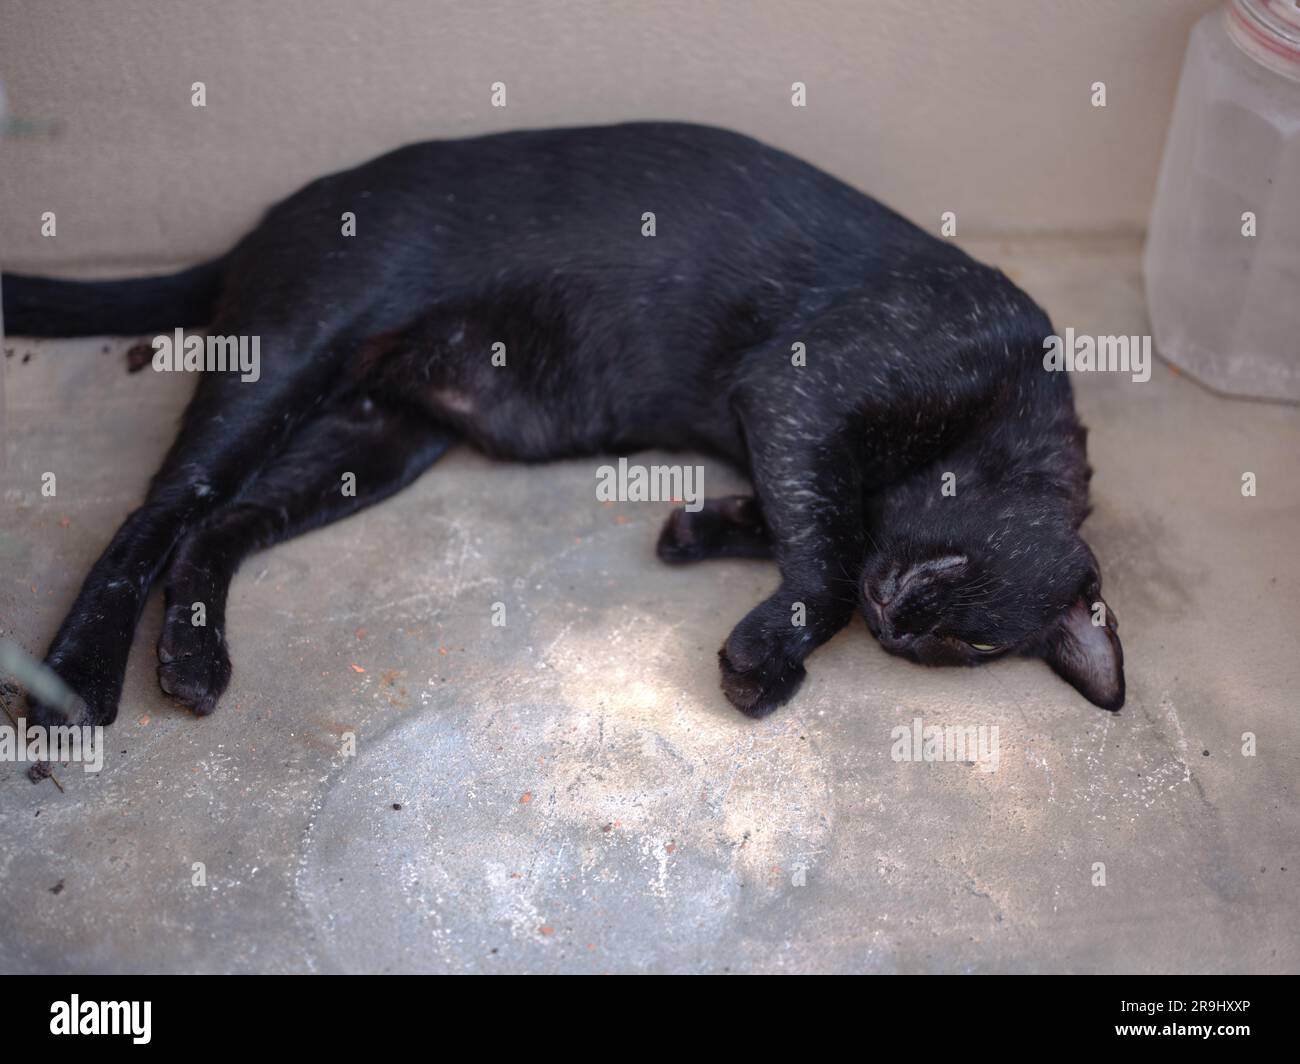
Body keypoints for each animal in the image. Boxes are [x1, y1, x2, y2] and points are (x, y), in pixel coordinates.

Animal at [0, 120, 1123, 723]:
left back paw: (193, 660)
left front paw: (701, 531)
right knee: (153, 517)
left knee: (216, 527)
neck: (1009, 397)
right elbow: (834, 557)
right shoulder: (796, 396)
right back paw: (74, 680)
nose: (901, 620)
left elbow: (809, 527)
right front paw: (769, 650)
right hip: (285, 359)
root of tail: (271, 215)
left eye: (962, 647)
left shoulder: (793, 444)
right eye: (949, 570)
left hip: (376, 440)